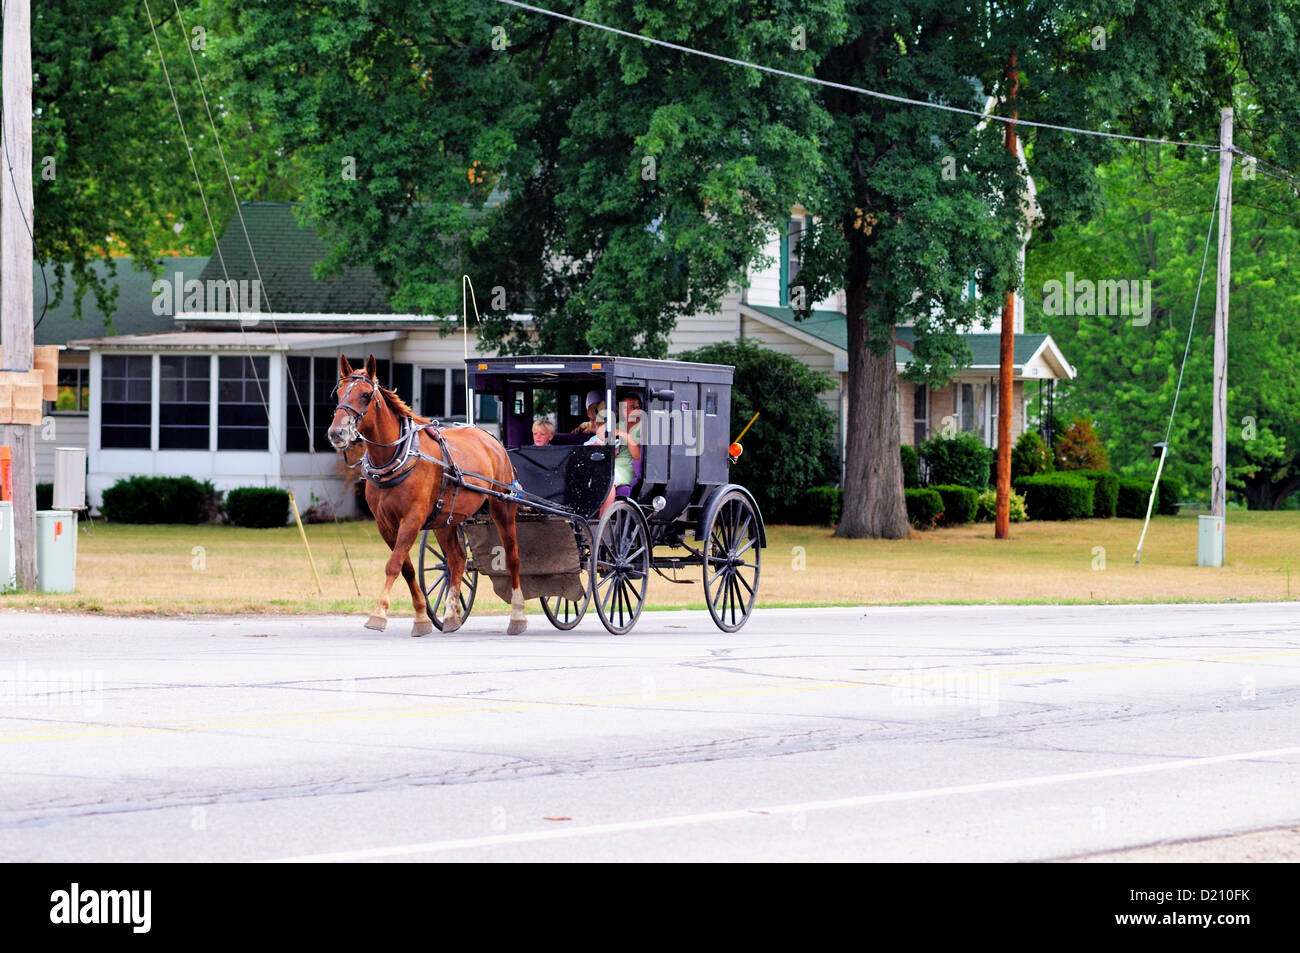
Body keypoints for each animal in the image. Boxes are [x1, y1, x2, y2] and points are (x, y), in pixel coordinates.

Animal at [327, 353, 525, 634]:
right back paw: (451, 615)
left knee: (512, 557)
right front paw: (421, 617)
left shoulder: (412, 518)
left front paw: (379, 613)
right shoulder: (385, 524)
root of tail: (490, 438)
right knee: (457, 560)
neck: (398, 456)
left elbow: (393, 564)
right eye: (339, 392)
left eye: (365, 394)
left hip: (502, 507)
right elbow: (407, 568)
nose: (337, 432)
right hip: (446, 520)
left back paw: (517, 616)